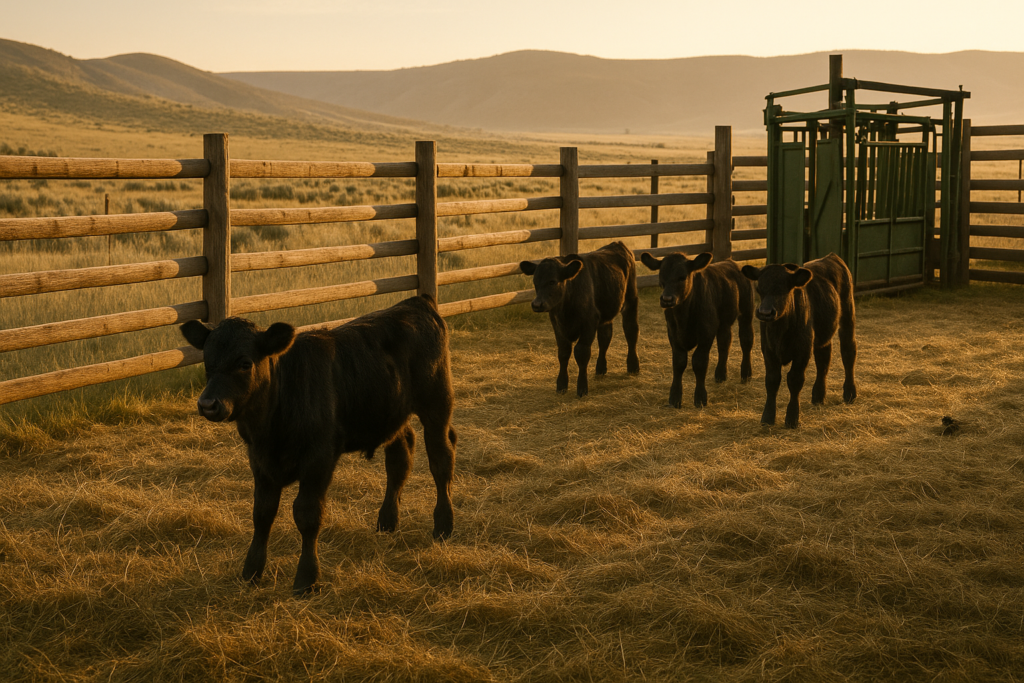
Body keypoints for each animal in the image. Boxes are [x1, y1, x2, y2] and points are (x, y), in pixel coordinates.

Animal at [179, 293, 457, 595]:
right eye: (207, 362)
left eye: (244, 363)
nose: (208, 404)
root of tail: (416, 301)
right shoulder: (260, 463)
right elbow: (262, 513)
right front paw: (251, 571)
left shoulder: (318, 460)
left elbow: (307, 514)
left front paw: (306, 578)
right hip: (391, 412)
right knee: (399, 458)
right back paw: (387, 521)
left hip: (437, 403)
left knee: (441, 459)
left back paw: (443, 525)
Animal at [519, 241, 640, 397]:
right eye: (535, 282)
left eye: (552, 282)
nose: (537, 304)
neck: (566, 312)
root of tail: (618, 244)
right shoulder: (557, 324)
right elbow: (563, 352)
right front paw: (561, 385)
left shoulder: (589, 322)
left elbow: (581, 352)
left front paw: (582, 388)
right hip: (606, 312)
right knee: (605, 337)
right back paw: (601, 368)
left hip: (631, 299)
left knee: (631, 330)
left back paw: (633, 366)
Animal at [640, 251, 754, 408]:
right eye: (661, 276)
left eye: (682, 277)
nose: (667, 299)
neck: (683, 318)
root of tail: (731, 262)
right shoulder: (673, 334)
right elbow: (679, 362)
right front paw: (674, 398)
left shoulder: (706, 334)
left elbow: (699, 362)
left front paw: (700, 398)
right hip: (724, 322)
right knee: (724, 343)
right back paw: (720, 374)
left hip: (746, 312)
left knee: (746, 340)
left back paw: (746, 374)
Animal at [740, 253, 857, 428]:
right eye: (759, 289)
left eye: (785, 289)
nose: (765, 313)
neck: (780, 330)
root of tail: (831, 257)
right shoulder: (768, 349)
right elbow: (772, 380)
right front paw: (767, 417)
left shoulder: (803, 350)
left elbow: (795, 380)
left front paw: (792, 418)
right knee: (823, 359)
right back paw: (818, 396)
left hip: (847, 316)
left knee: (848, 352)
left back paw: (849, 393)